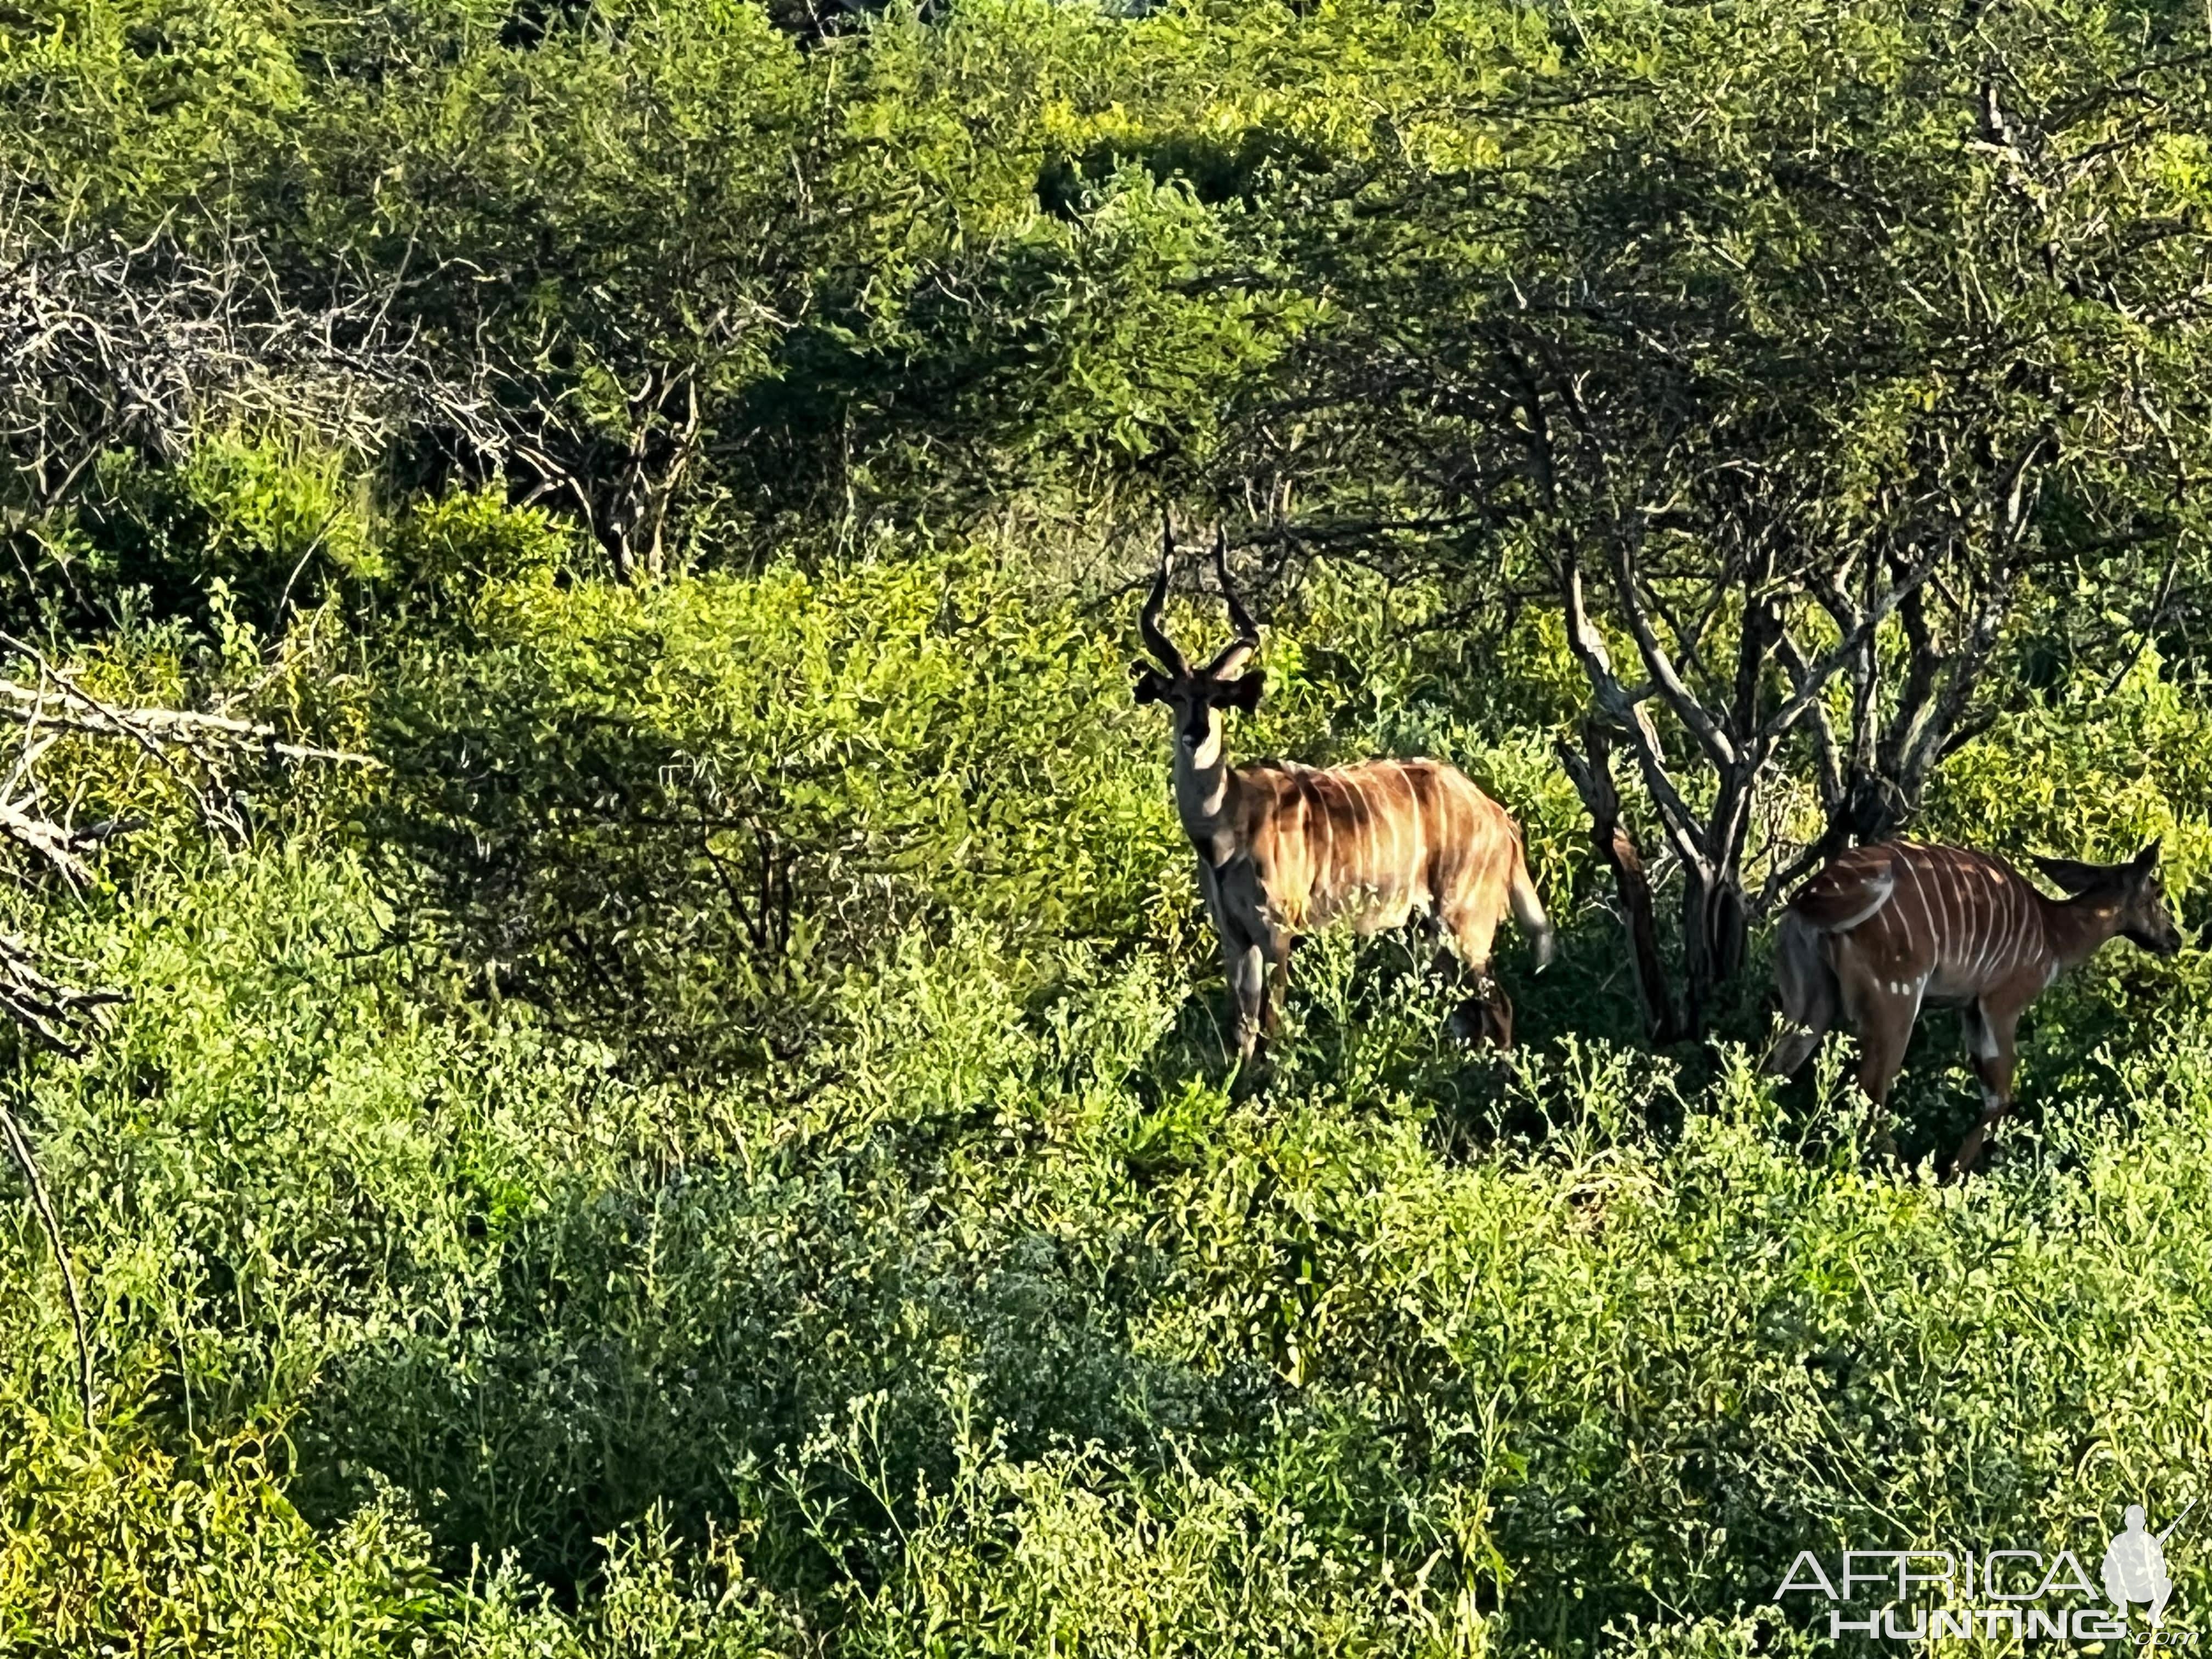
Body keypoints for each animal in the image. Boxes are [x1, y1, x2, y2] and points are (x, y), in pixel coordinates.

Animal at [1132, 522, 1548, 1066]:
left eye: (1220, 699)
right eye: (1177, 696)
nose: (1196, 734)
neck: (1227, 826)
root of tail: (1501, 818)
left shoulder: (1279, 932)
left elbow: (1273, 1025)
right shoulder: (1235, 938)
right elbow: (1243, 1029)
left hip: (1465, 924)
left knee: (1497, 1006)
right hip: (1430, 931)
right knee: (1468, 1013)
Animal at [1760, 836, 2176, 1177]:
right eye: (2157, 891)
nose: (2175, 937)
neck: (2054, 933)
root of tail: (1810, 896)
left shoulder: (1970, 1008)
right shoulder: (2000, 1004)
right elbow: (2000, 1094)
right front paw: (1952, 1177)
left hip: (1811, 1000)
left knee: (1778, 1064)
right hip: (1896, 999)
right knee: (1870, 1088)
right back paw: (1901, 1175)